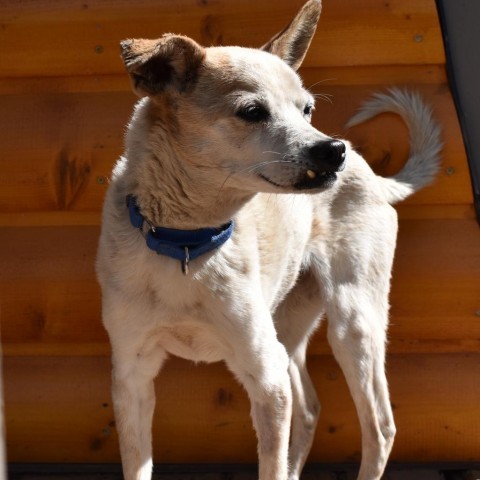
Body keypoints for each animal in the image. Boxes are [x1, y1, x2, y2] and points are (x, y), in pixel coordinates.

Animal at [94, 1, 442, 478]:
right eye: (253, 111)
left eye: (307, 109)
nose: (332, 150)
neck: (187, 243)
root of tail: (372, 175)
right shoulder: (133, 376)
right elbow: (138, 463)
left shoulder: (266, 377)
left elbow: (271, 463)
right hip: (289, 329)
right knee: (310, 409)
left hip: (353, 323)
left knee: (380, 426)